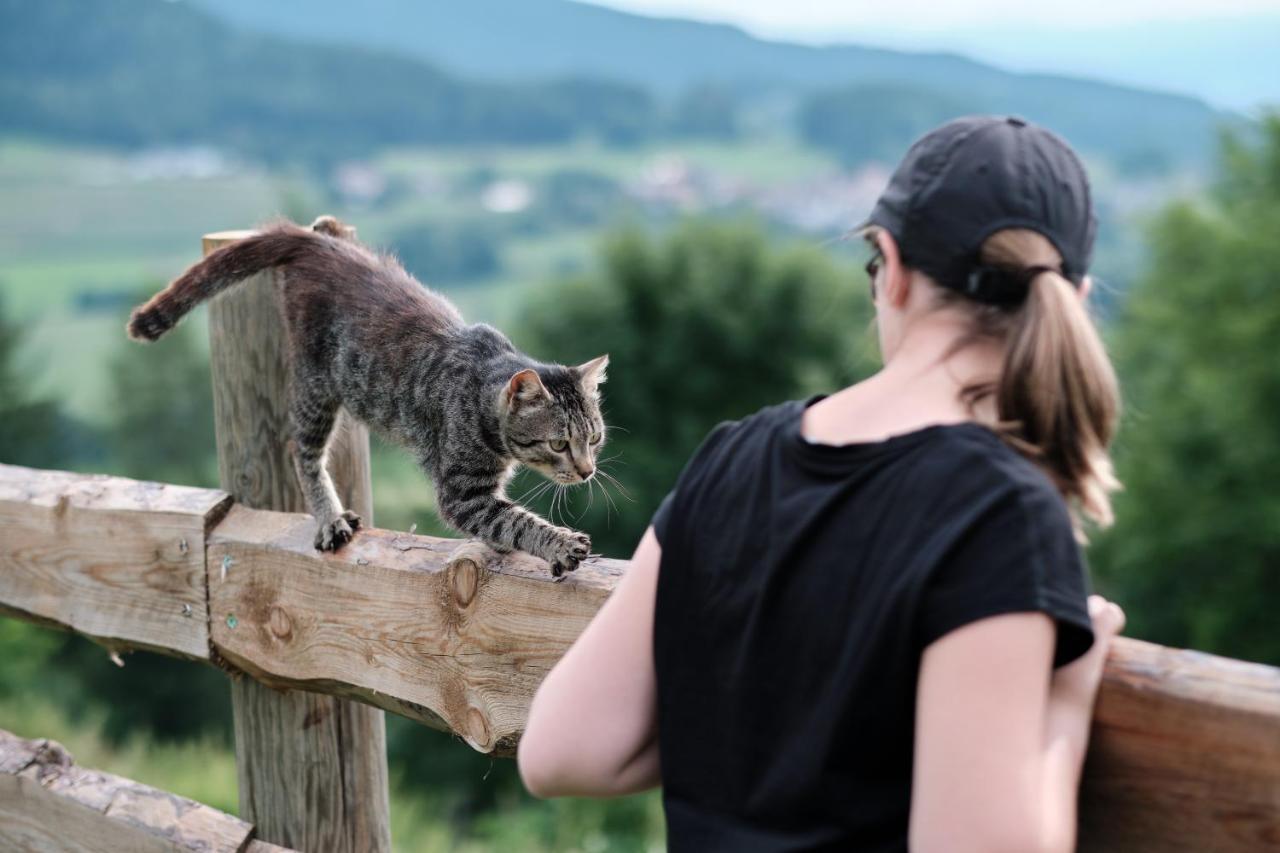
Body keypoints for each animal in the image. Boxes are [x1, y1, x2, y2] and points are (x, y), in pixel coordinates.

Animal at [127, 217, 606, 578]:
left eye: (595, 439)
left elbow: (505, 521)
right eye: (559, 443)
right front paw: (559, 543)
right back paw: (329, 517)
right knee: (300, 451)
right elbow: (514, 521)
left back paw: (327, 224)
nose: (587, 471)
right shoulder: (463, 493)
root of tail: (314, 247)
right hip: (316, 388)